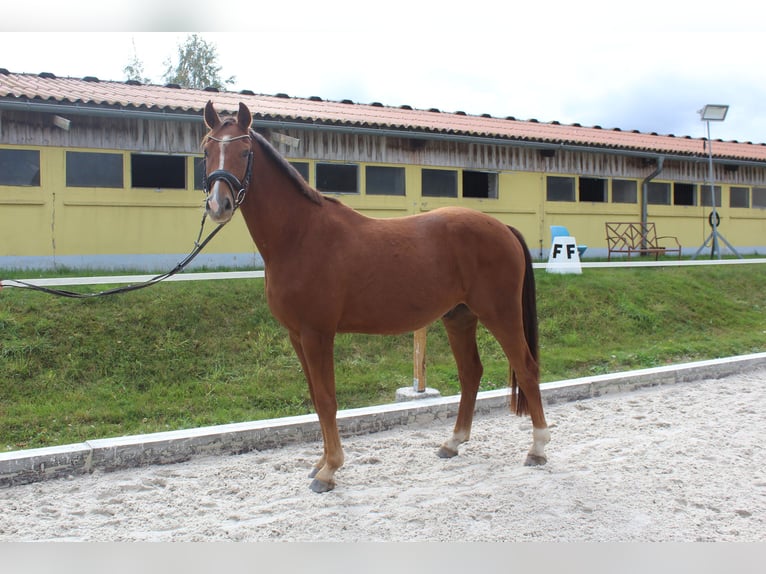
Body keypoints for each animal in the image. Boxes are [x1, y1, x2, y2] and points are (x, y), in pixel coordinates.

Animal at [201, 101, 550, 493]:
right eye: (206, 150)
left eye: (245, 152)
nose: (218, 205)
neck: (300, 235)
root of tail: (503, 227)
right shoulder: (297, 336)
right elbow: (316, 397)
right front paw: (320, 462)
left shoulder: (317, 334)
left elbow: (327, 399)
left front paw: (330, 469)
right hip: (460, 317)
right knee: (471, 373)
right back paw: (453, 442)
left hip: (500, 314)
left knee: (526, 368)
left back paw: (537, 448)